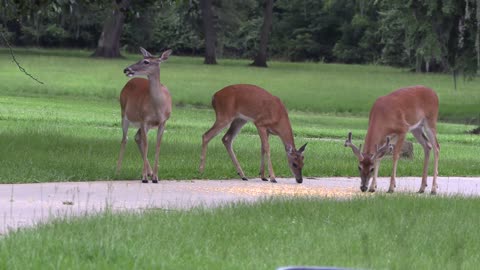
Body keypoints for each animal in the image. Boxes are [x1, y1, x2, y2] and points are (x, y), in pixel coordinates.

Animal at [115, 48, 172, 184]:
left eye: (146, 61)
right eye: (140, 59)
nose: (126, 69)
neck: (158, 107)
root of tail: (130, 82)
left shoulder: (163, 122)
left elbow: (157, 145)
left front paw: (155, 177)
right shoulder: (144, 119)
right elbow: (146, 145)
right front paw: (144, 177)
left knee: (137, 137)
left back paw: (150, 173)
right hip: (124, 113)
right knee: (125, 139)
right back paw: (118, 171)